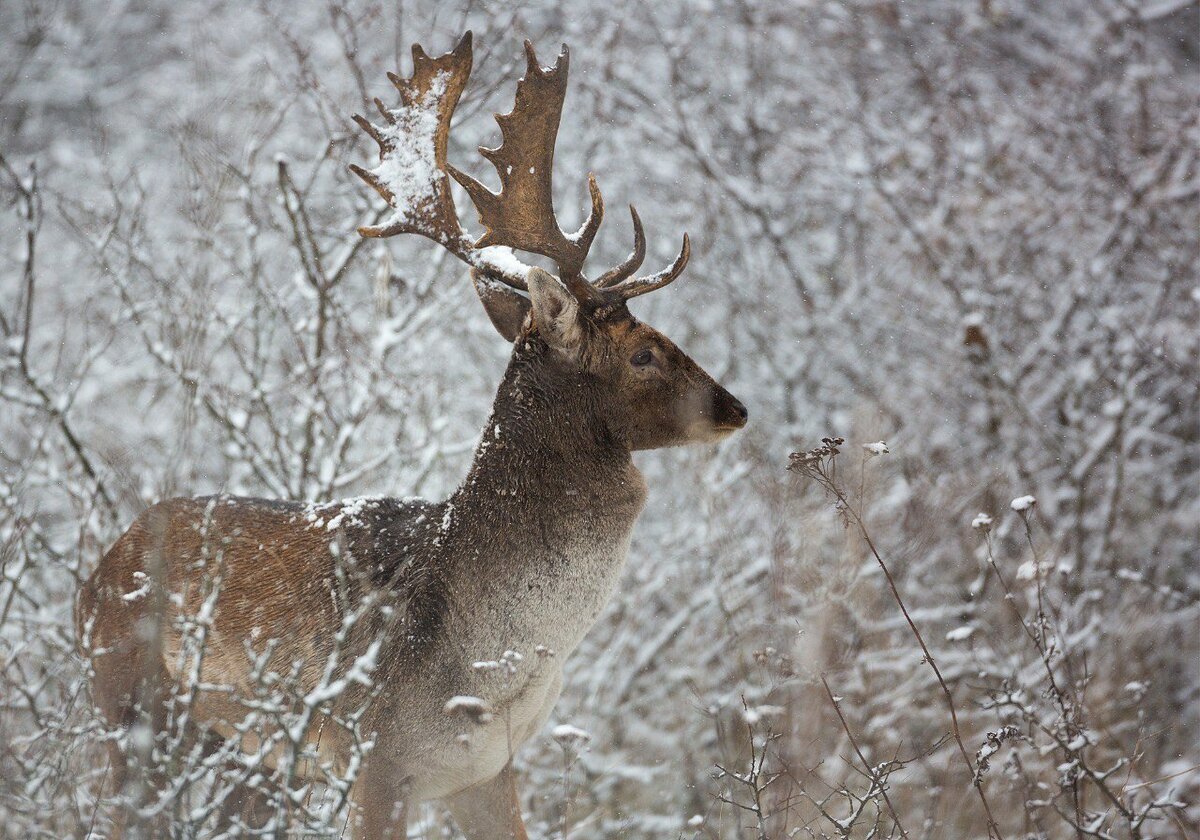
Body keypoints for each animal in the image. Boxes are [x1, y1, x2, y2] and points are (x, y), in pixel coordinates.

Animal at [77, 32, 739, 840]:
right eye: (643, 352)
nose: (734, 407)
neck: (485, 666)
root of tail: (98, 566)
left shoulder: (486, 767)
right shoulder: (372, 755)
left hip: (238, 755)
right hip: (121, 707)